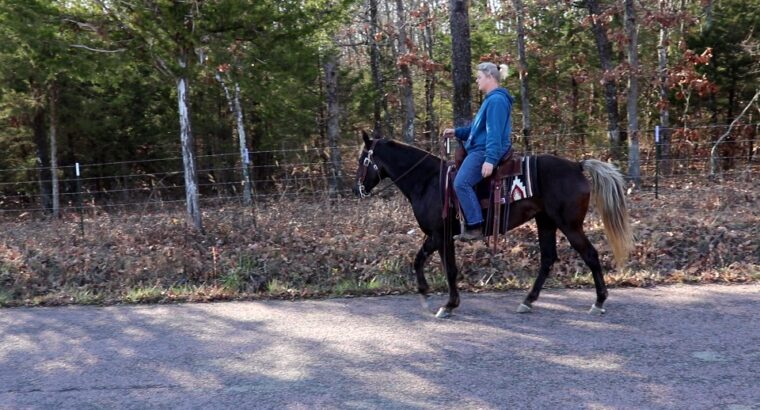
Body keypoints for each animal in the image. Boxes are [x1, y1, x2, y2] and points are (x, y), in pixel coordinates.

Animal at [354, 133, 632, 318]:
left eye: (362, 159)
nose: (358, 189)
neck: (428, 181)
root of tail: (576, 165)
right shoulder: (439, 237)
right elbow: (431, 263)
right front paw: (436, 298)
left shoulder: (439, 235)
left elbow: (438, 266)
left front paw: (443, 302)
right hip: (546, 222)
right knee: (547, 259)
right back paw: (528, 301)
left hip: (570, 225)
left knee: (590, 255)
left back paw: (598, 301)